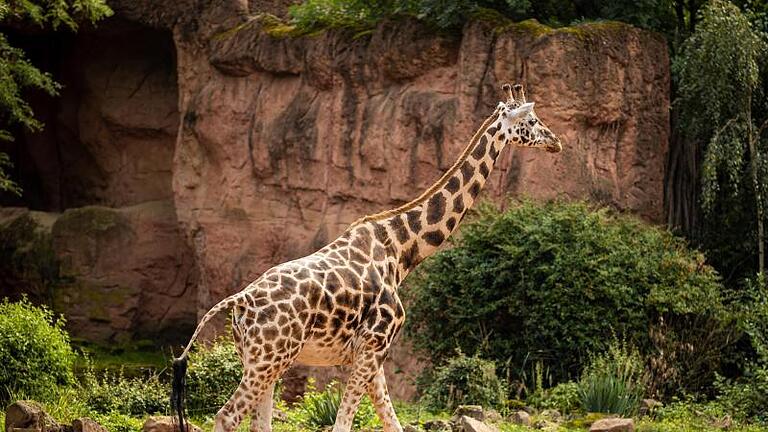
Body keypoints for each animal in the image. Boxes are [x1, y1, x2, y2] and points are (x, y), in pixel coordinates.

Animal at [171, 83, 560, 432]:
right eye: (532, 120)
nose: (556, 141)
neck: (401, 251)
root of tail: (241, 302)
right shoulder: (373, 346)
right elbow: (344, 424)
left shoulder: (372, 354)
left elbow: (392, 423)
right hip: (270, 357)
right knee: (226, 417)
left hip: (260, 358)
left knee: (258, 423)